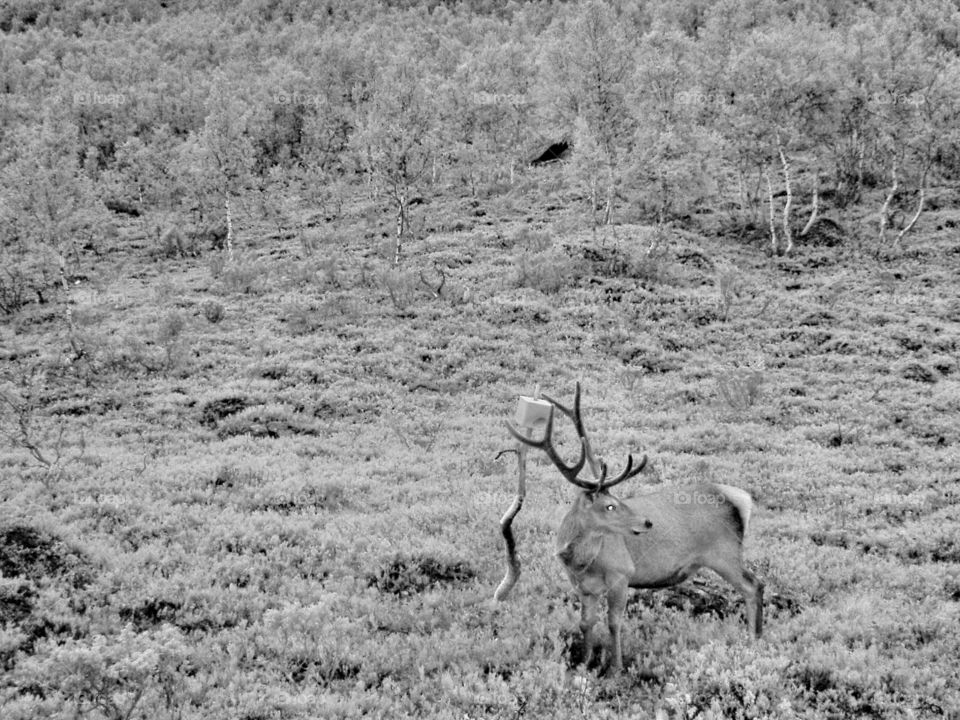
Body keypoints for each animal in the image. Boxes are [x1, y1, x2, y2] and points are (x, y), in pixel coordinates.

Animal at [505, 383, 763, 675]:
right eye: (609, 505)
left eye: (618, 500)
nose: (647, 522)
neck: (582, 562)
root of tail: (743, 499)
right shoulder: (582, 586)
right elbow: (585, 623)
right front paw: (585, 662)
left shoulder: (621, 573)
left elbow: (613, 622)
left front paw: (615, 669)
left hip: (724, 552)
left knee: (753, 585)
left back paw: (753, 640)